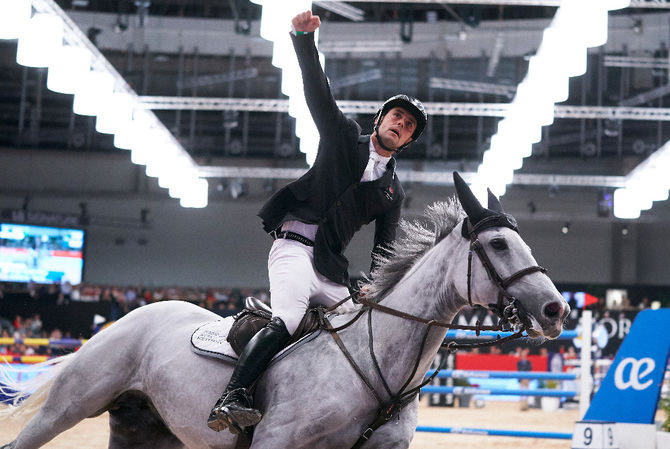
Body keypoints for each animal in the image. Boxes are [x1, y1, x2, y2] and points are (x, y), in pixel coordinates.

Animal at [0, 175, 572, 448]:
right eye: (497, 244)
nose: (556, 309)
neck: (378, 367)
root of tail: (132, 316)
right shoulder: (275, 443)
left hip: (144, 429)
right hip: (68, 408)